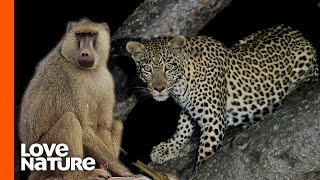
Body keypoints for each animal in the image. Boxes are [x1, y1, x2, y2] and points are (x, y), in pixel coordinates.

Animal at [125, 24, 318, 168]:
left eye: (169, 67)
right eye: (147, 69)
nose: (159, 88)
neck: (181, 85)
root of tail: (296, 32)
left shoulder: (213, 119)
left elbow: (205, 153)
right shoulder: (189, 108)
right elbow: (182, 127)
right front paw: (168, 148)